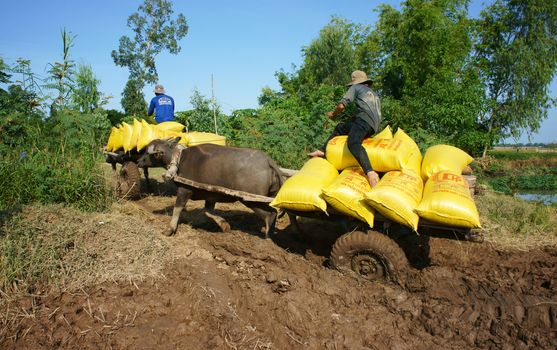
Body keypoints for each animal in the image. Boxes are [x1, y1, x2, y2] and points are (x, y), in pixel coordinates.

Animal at [135, 137, 282, 238]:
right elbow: (208, 211)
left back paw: (268, 238)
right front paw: (224, 225)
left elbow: (177, 209)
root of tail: (268, 161)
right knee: (273, 212)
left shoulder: (184, 190)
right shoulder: (210, 196)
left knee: (270, 214)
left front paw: (170, 229)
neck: (179, 159)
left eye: (147, 153)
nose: (138, 161)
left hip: (251, 200)